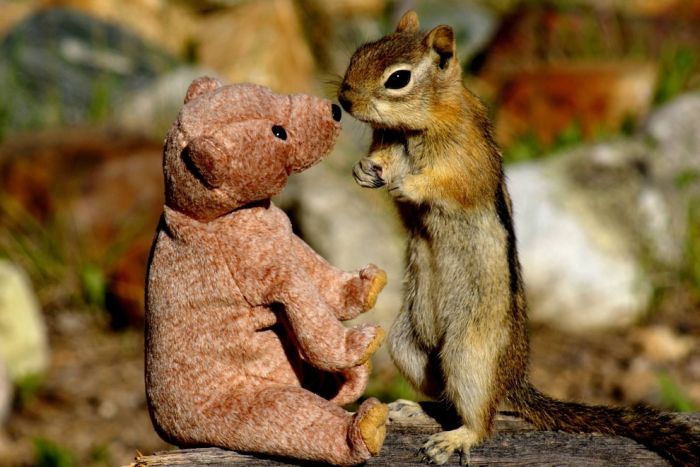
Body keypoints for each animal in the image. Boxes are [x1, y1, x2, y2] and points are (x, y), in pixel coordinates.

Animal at [338, 11, 696, 467]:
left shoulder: (468, 159)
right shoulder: (386, 141)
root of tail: (514, 379)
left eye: (398, 78)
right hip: (407, 346)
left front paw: (407, 184)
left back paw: (456, 438)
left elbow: (448, 184)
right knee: (444, 397)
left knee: (482, 416)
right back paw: (412, 409)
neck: (412, 129)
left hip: (470, 355)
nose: (345, 100)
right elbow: (381, 159)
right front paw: (365, 170)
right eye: (360, 52)